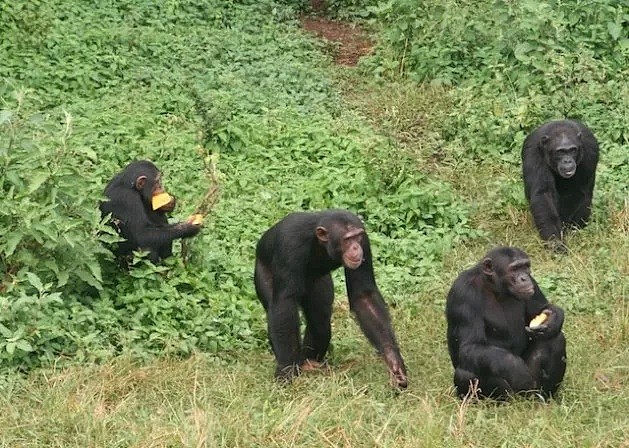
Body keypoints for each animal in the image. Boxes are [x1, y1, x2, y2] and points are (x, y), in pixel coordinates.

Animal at [254, 210, 408, 388]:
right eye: (347, 239)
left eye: (357, 237)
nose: (355, 247)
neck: (320, 242)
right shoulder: (289, 243)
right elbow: (285, 303)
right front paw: (286, 371)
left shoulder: (365, 241)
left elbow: (364, 296)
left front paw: (393, 361)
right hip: (262, 271)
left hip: (320, 283)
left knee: (319, 319)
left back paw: (309, 362)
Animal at [442, 248, 568, 400]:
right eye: (514, 269)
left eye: (525, 266)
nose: (524, 277)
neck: (495, 288)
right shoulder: (463, 293)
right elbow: (469, 346)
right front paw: (516, 368)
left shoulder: (533, 283)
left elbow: (542, 308)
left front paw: (553, 319)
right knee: (465, 374)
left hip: (530, 391)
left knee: (555, 340)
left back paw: (544, 396)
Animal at [520, 119, 600, 252]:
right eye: (560, 151)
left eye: (572, 150)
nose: (567, 160)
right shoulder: (532, 151)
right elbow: (544, 194)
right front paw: (555, 241)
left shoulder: (590, 149)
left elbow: (581, 191)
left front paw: (573, 231)